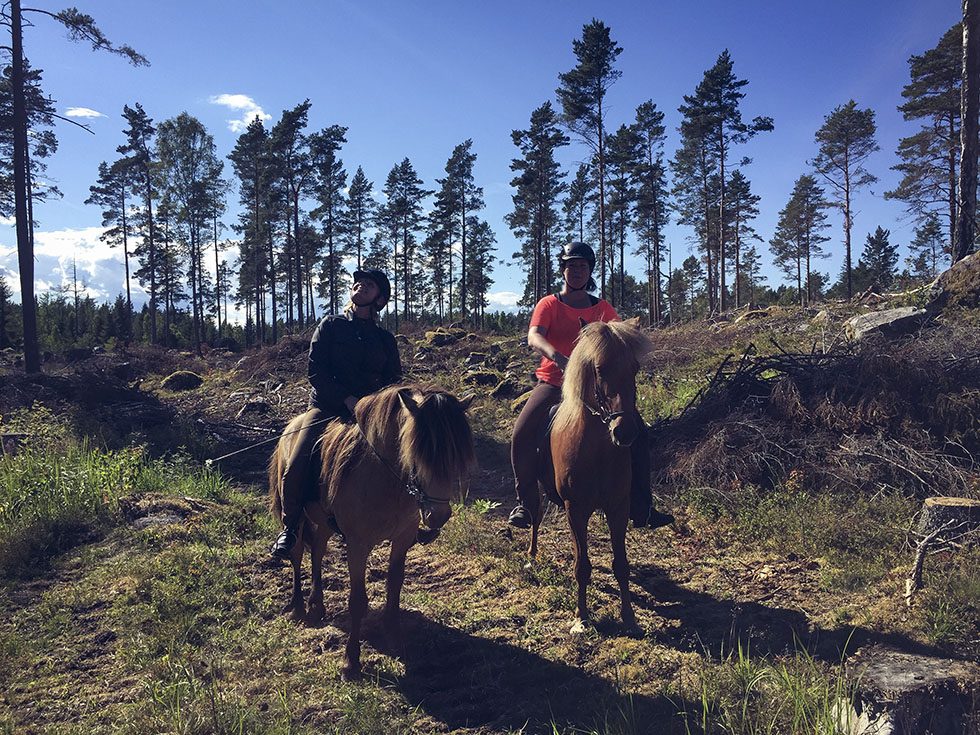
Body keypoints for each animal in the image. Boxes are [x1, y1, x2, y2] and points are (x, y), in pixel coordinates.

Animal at [268, 382, 474, 680]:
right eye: (417, 454)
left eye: (455, 455)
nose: (438, 515)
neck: (385, 480)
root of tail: (290, 427)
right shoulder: (358, 544)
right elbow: (357, 601)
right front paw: (350, 662)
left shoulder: (401, 539)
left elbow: (394, 586)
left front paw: (394, 637)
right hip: (296, 513)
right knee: (296, 553)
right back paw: (297, 606)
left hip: (324, 522)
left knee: (317, 551)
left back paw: (316, 604)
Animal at [532, 320, 656, 636]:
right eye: (599, 369)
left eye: (634, 367)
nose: (624, 431)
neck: (597, 451)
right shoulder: (575, 509)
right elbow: (582, 566)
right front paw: (581, 618)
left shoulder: (618, 507)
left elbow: (621, 564)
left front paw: (630, 618)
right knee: (534, 518)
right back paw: (531, 557)